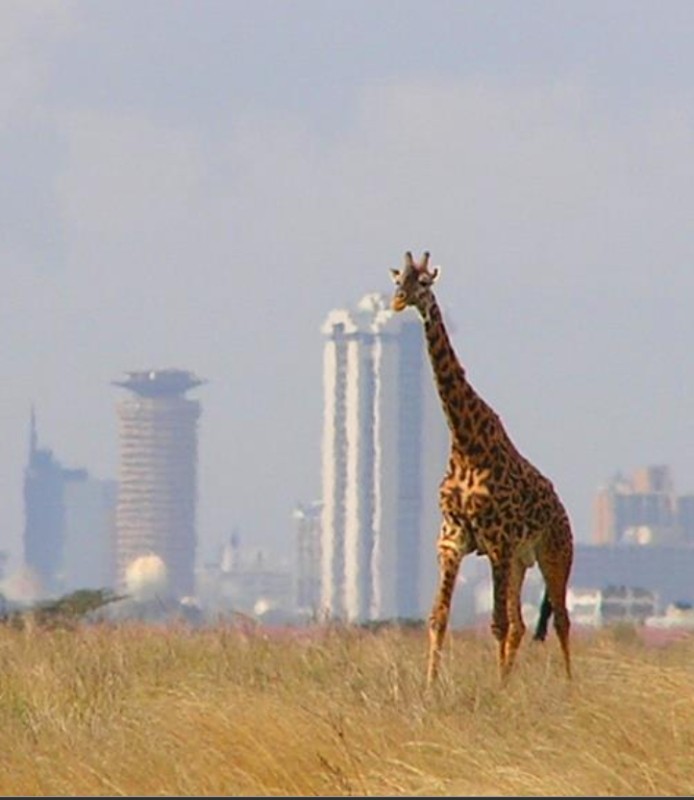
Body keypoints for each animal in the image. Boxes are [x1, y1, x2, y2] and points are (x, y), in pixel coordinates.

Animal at [389, 251, 573, 684]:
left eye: (425, 283)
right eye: (397, 280)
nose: (399, 301)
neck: (466, 444)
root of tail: (563, 510)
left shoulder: (497, 541)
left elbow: (497, 624)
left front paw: (497, 691)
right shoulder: (453, 540)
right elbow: (438, 618)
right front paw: (430, 687)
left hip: (554, 553)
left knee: (560, 620)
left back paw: (571, 689)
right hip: (521, 561)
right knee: (524, 624)